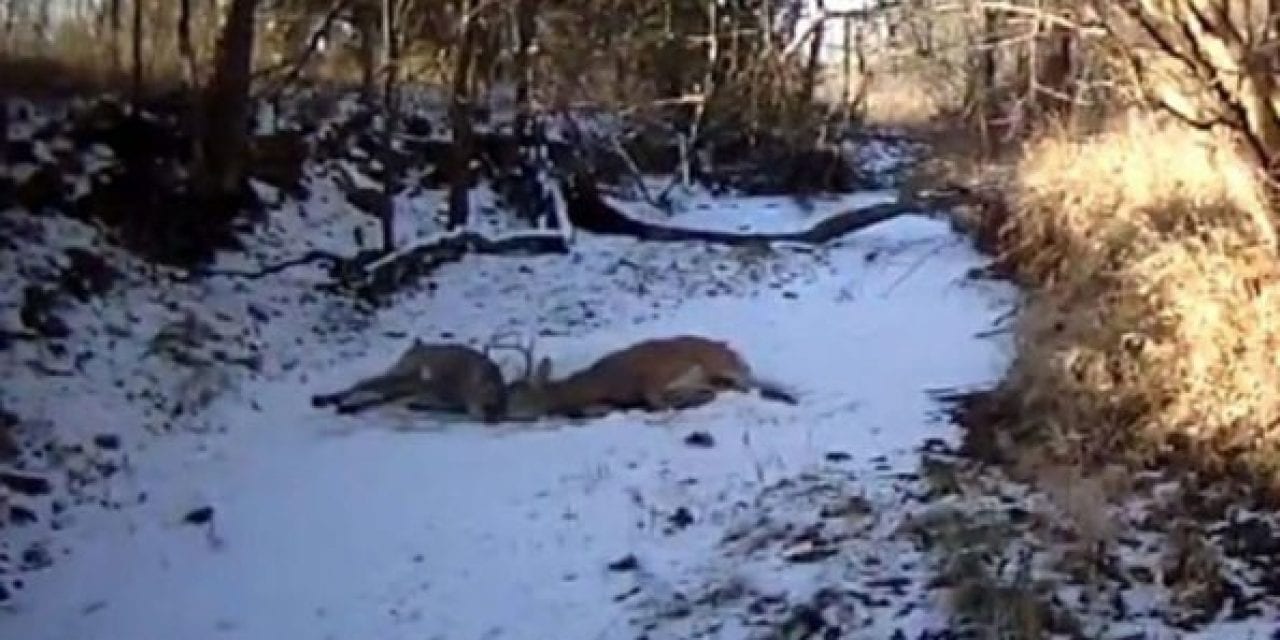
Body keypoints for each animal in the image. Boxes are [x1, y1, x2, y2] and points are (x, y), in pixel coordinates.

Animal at [309, 337, 504, 422]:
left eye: (497, 409)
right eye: (489, 406)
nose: (492, 420)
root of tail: (415, 346)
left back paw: (344, 406)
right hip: (404, 373)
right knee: (365, 383)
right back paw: (329, 400)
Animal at [501, 335, 793, 419]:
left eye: (517, 392)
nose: (498, 413)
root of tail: (734, 352)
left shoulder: (651, 377)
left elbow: (656, 402)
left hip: (719, 363)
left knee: (747, 383)